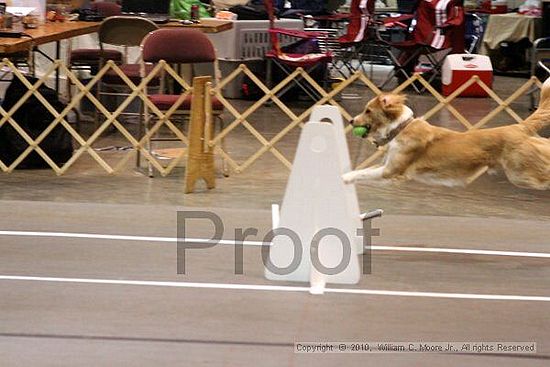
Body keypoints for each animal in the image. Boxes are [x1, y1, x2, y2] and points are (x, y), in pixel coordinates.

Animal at [344, 79, 550, 191]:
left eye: (368, 111)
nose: (351, 121)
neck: (401, 128)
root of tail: (519, 127)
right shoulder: (386, 165)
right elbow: (360, 171)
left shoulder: (391, 171)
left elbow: (360, 174)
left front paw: (343, 179)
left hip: (522, 173)